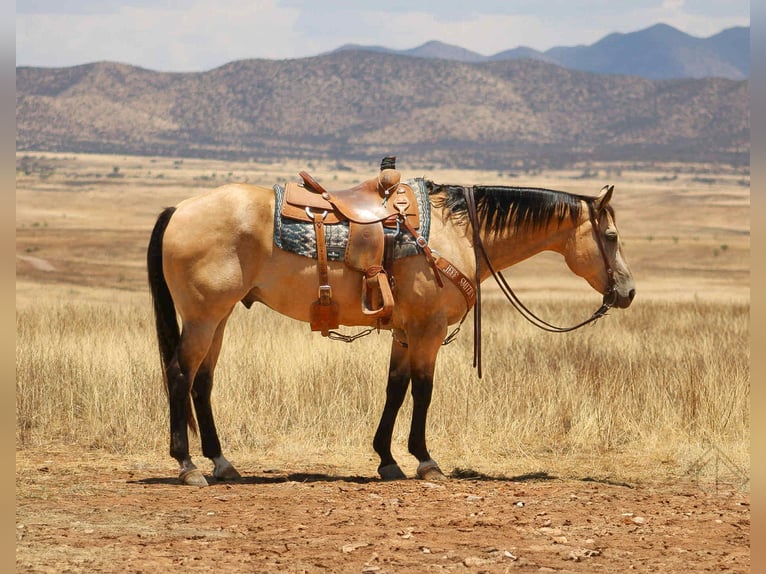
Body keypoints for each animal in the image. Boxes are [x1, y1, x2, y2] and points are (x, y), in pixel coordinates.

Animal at [147, 170, 635, 486]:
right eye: (611, 237)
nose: (627, 291)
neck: (457, 233)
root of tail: (178, 209)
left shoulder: (405, 331)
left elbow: (395, 389)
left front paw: (386, 459)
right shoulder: (427, 330)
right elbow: (423, 390)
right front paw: (425, 460)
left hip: (219, 317)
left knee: (202, 382)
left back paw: (221, 463)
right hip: (203, 317)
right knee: (180, 374)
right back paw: (188, 467)